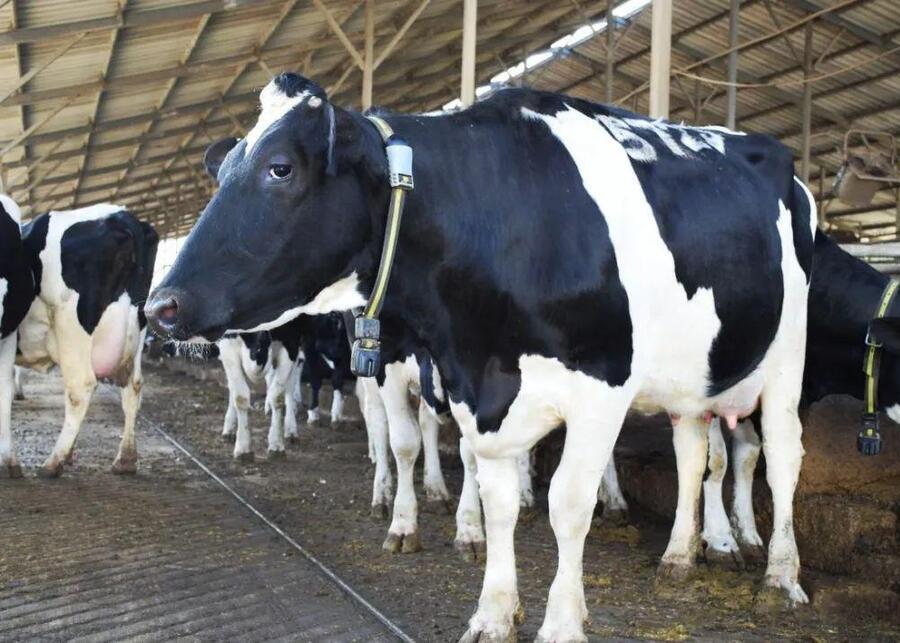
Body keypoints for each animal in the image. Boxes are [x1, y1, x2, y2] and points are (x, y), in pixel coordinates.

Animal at [13, 204, 158, 477]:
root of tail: (119, 215)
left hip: (71, 324)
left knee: (80, 387)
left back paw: (55, 461)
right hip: (137, 329)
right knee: (133, 387)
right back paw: (125, 459)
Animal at [146, 74, 816, 642]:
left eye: (279, 168)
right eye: (226, 170)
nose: (161, 304)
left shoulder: (600, 386)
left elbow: (567, 503)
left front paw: (561, 623)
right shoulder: (472, 388)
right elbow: (492, 501)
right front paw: (492, 613)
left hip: (786, 360)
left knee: (782, 459)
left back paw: (781, 575)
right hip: (691, 381)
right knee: (692, 451)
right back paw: (679, 555)